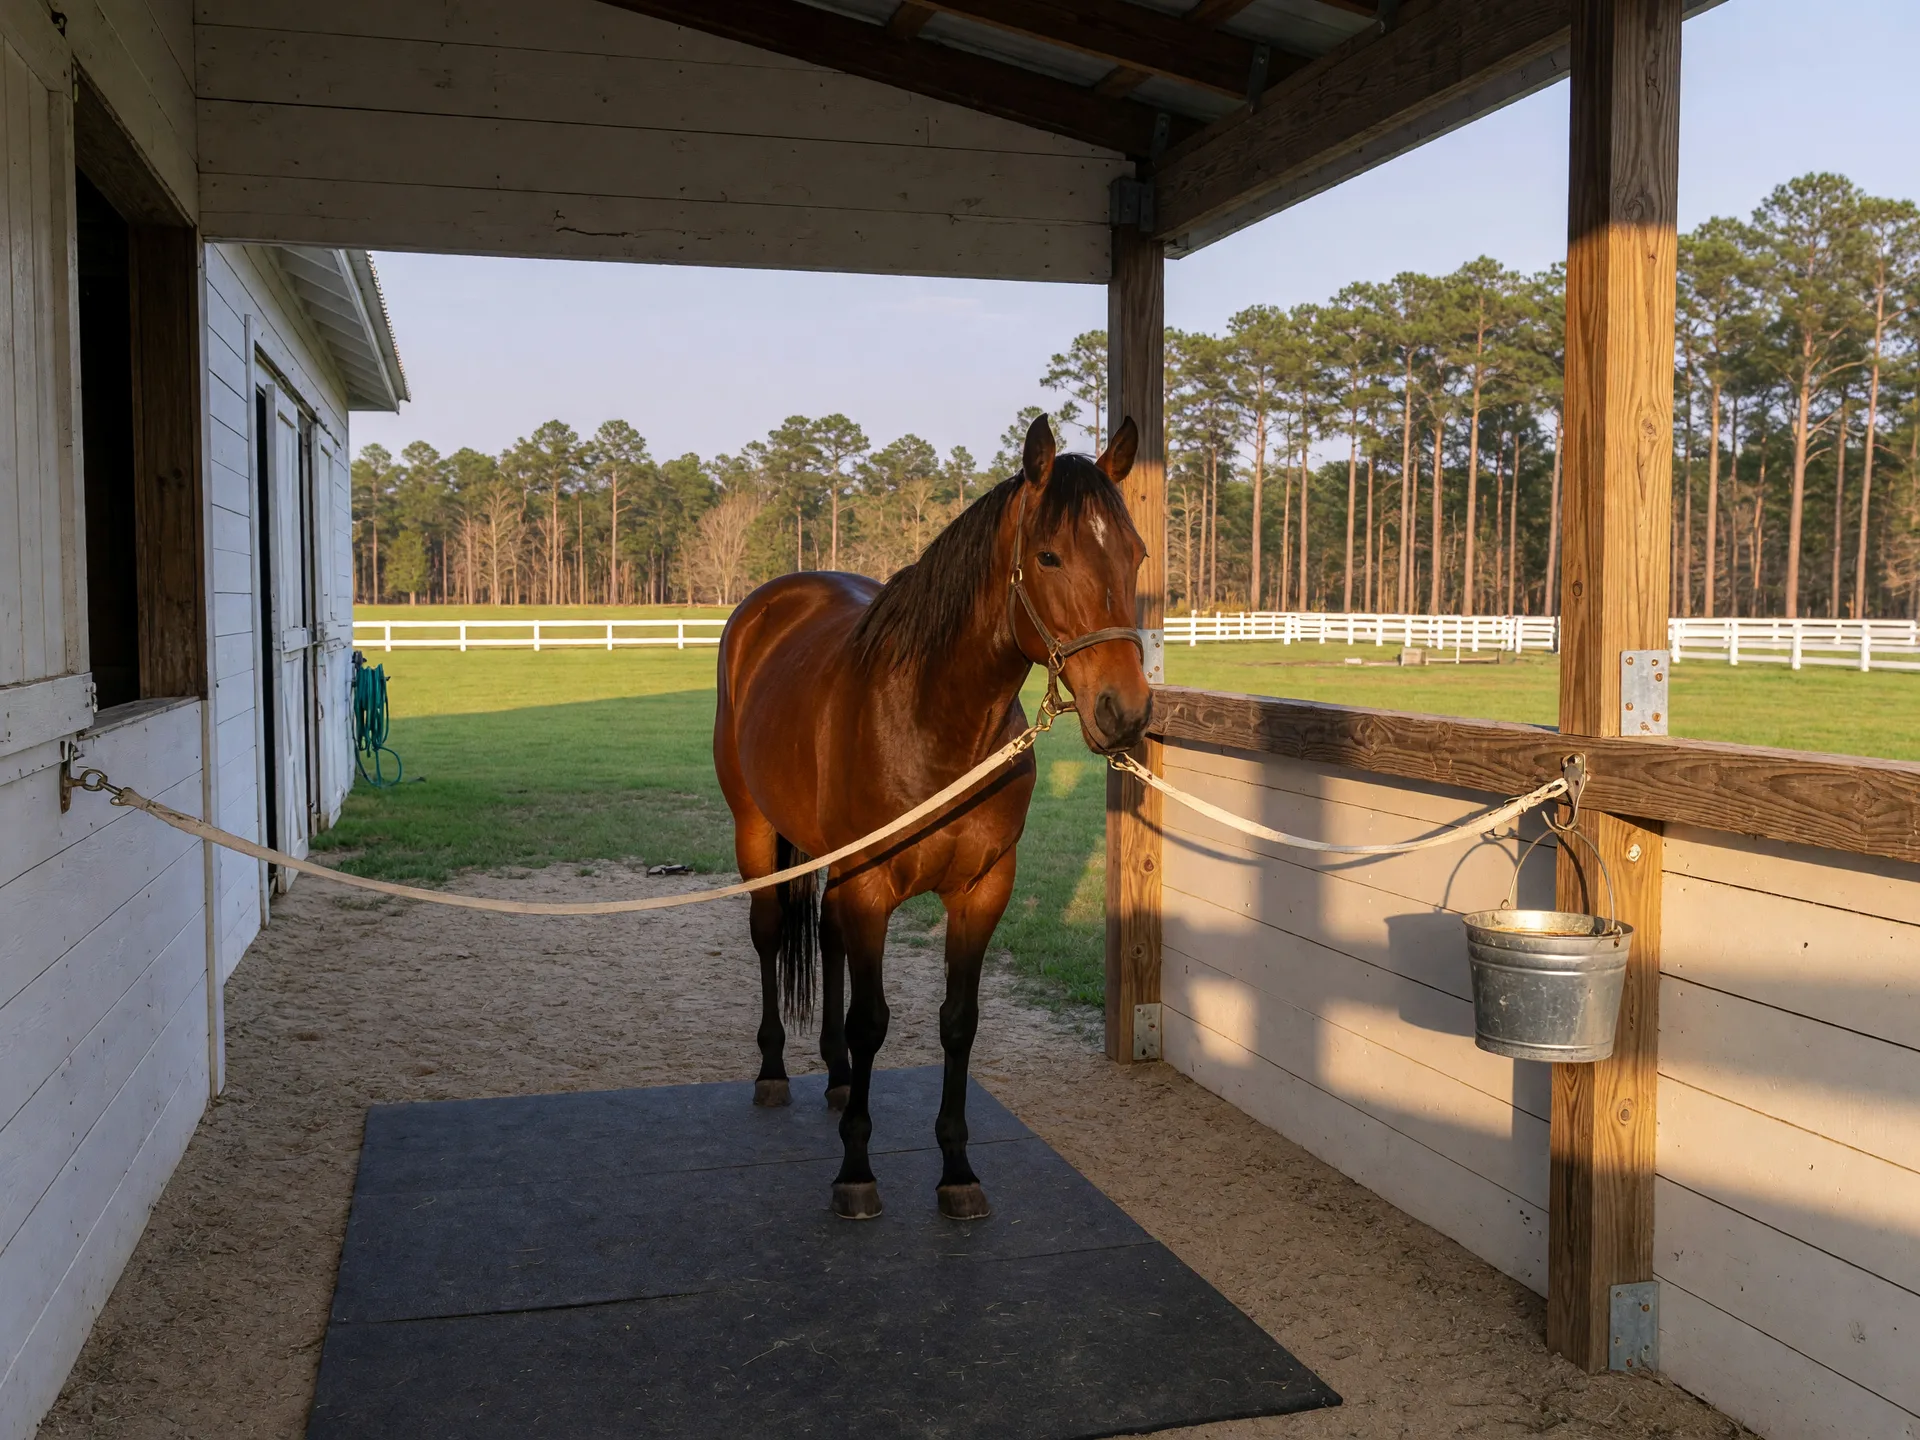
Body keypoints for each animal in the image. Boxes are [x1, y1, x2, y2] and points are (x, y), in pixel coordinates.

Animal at [713, 413, 1152, 1222]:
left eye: (1134, 554)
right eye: (1049, 555)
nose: (1125, 711)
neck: (935, 726)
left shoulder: (981, 891)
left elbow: (958, 1021)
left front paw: (956, 1169)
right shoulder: (870, 889)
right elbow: (872, 1020)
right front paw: (856, 1170)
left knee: (826, 942)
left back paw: (838, 1078)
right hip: (756, 832)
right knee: (769, 933)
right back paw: (774, 1072)